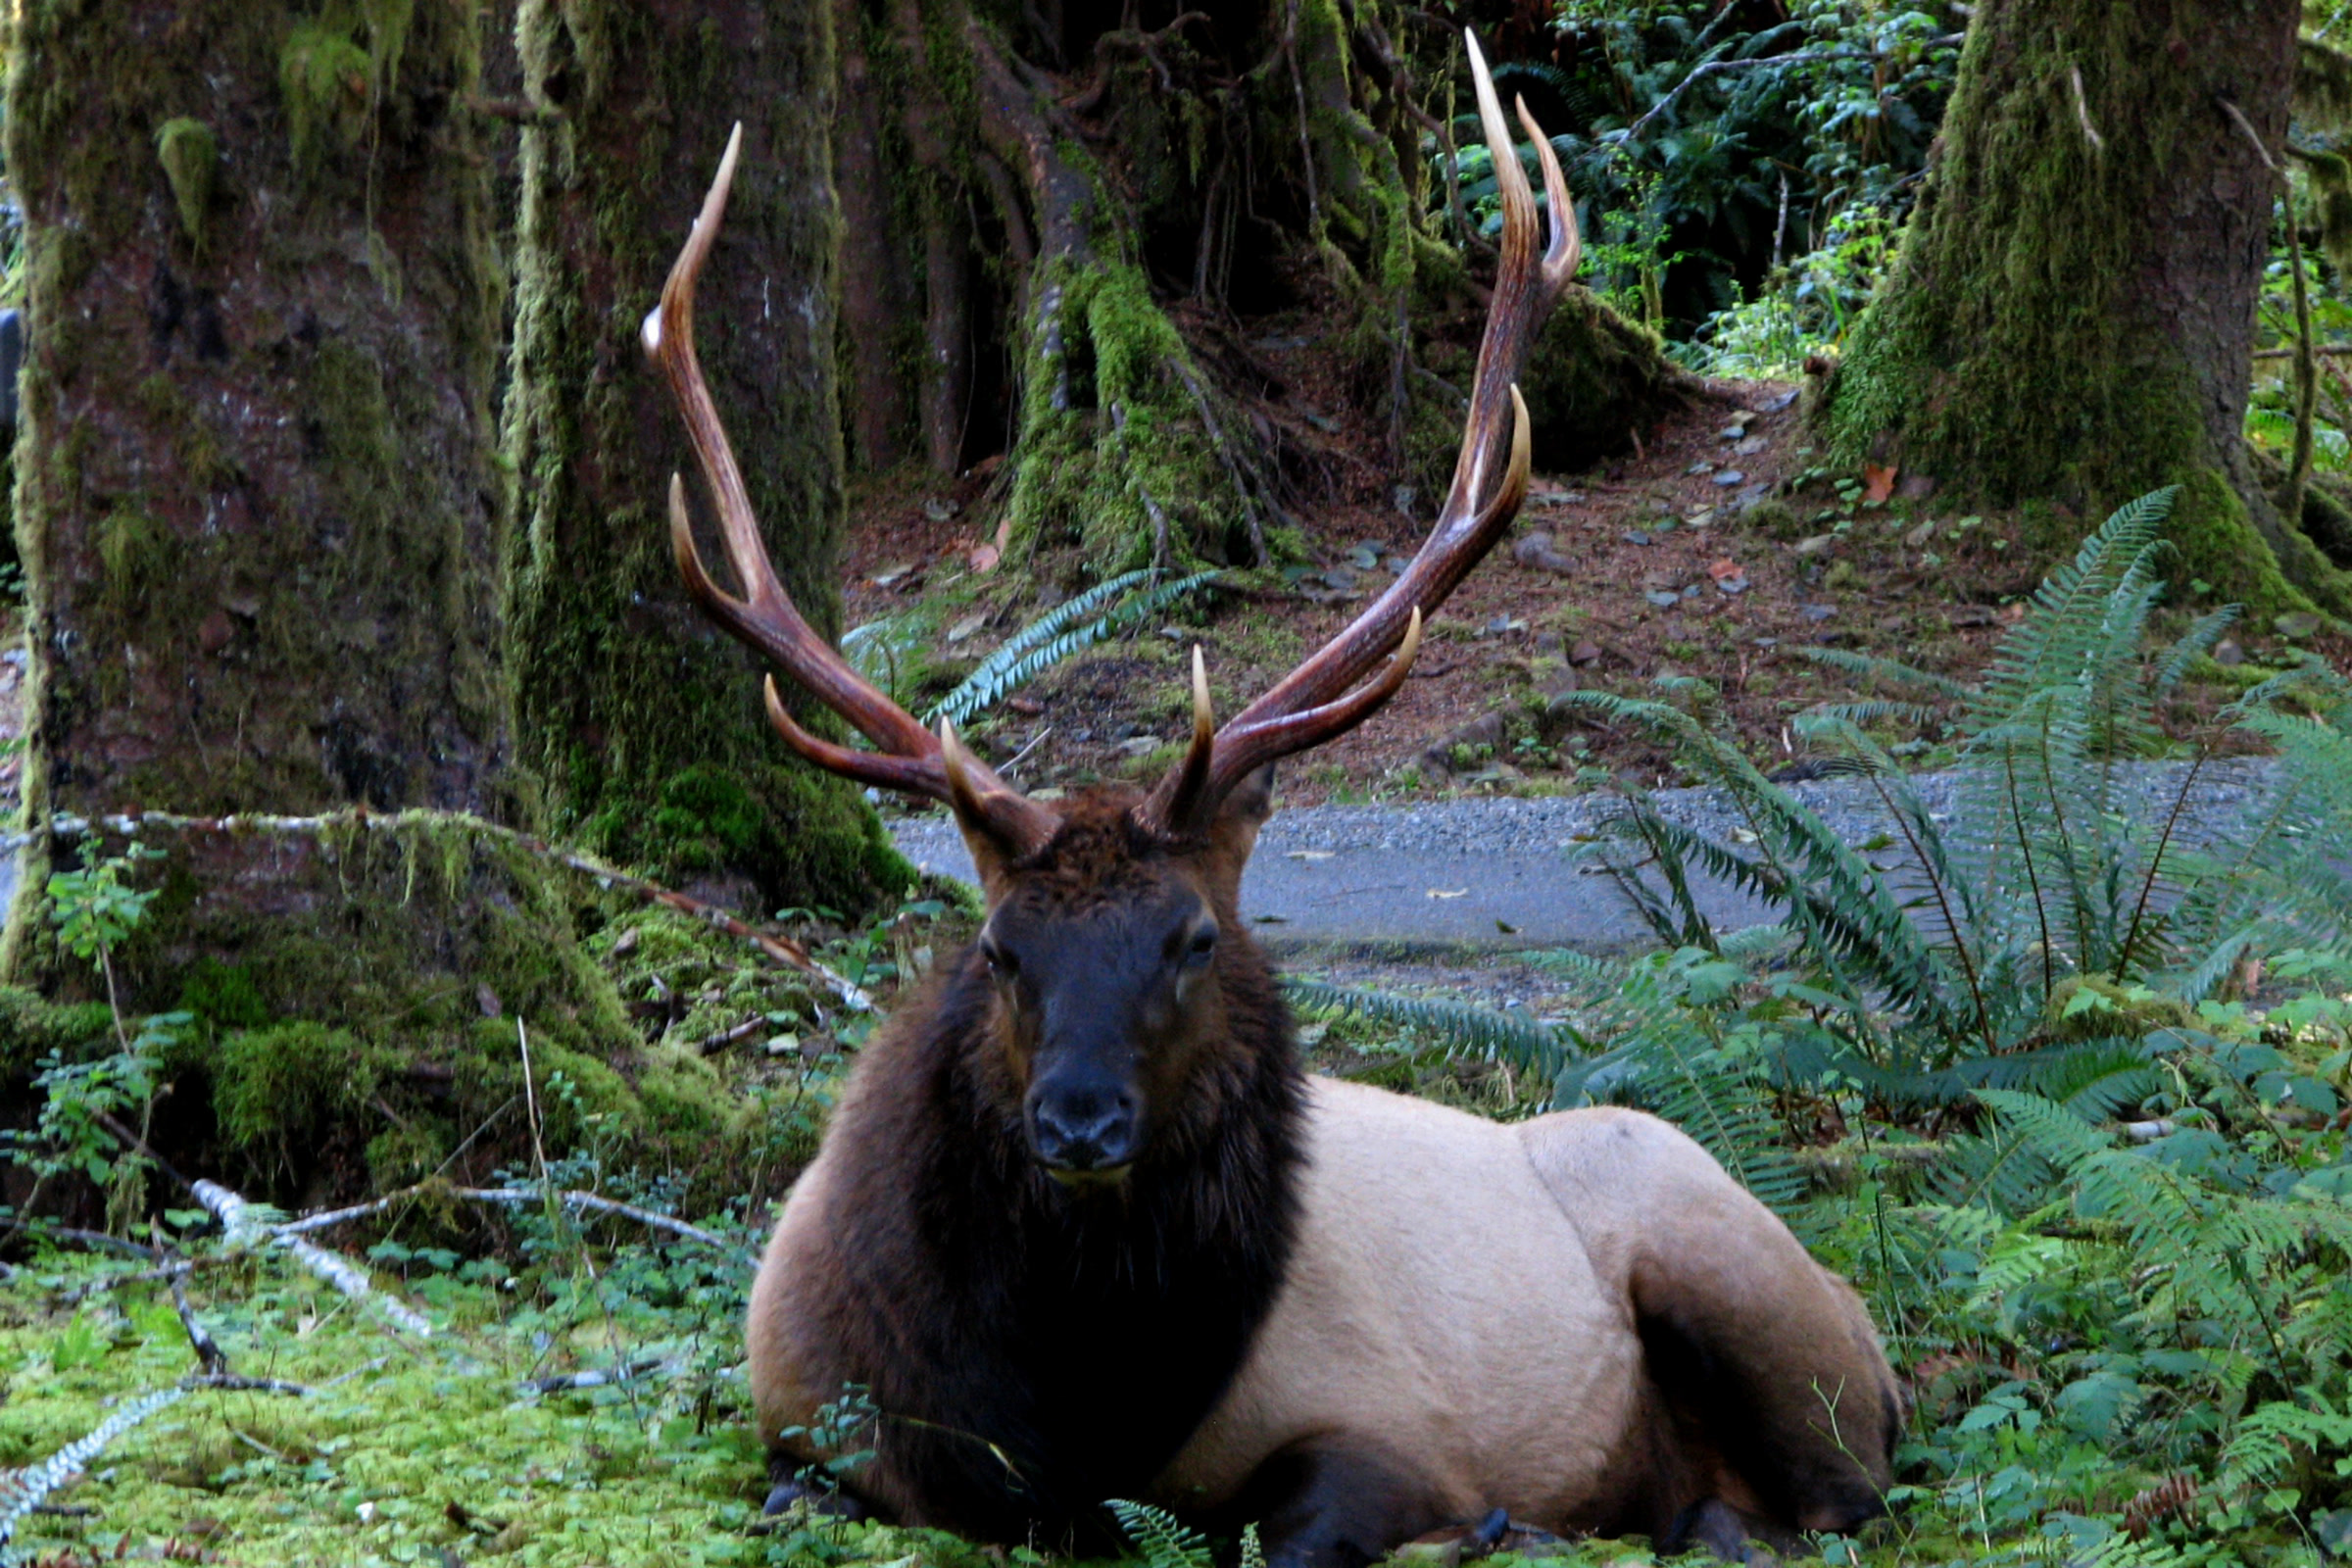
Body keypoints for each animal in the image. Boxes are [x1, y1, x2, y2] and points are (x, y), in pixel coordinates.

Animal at [641, 36, 1900, 1566]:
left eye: (1194, 938)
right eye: (999, 948)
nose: (1077, 1123)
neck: (1059, 1422)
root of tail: (1879, 1340)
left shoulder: (1390, 1424)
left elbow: (1303, 1524)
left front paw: (1479, 1527)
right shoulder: (796, 1410)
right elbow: (791, 1482)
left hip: (1740, 1271)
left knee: (1836, 1501)